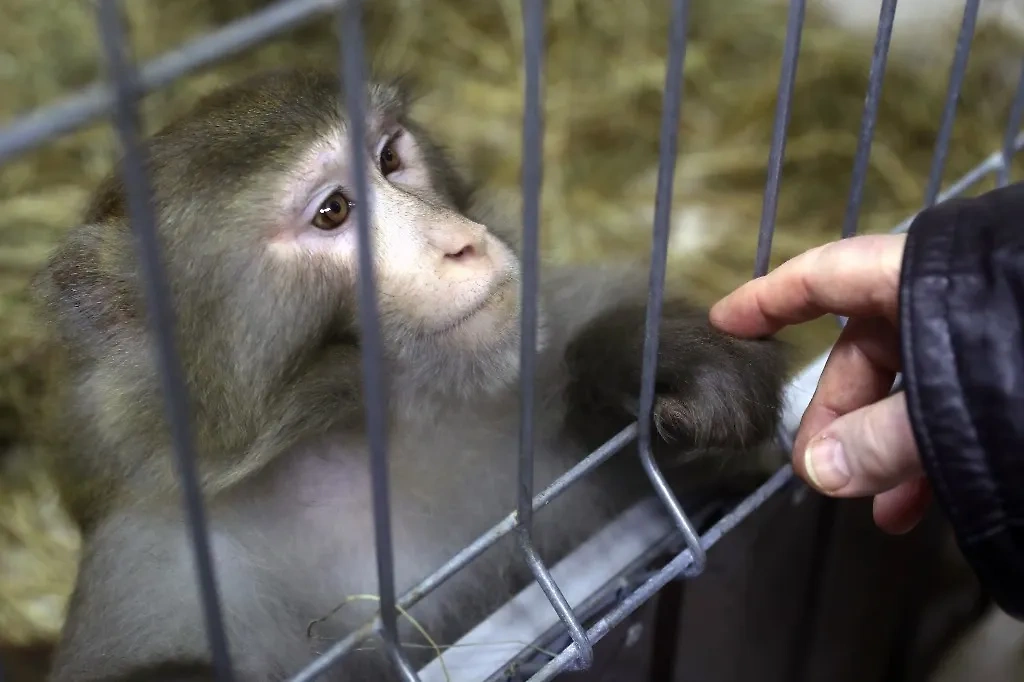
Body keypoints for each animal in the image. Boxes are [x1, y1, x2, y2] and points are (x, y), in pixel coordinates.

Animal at [29, 65, 782, 679]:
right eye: (333, 211)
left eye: (390, 158)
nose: (461, 245)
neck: (366, 430)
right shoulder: (162, 559)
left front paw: (670, 365)